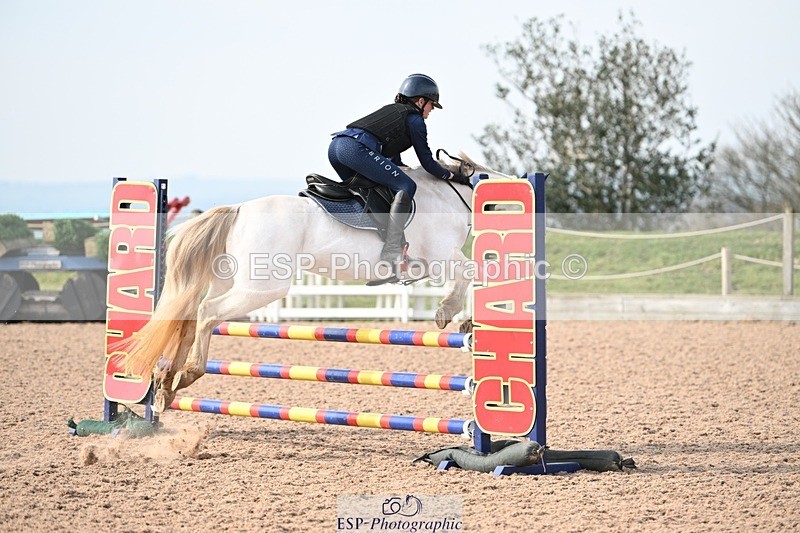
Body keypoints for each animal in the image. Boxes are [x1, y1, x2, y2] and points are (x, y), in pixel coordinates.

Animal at [124, 153, 513, 412]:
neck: (450, 197)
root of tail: (238, 210)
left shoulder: (433, 263)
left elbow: (471, 274)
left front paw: (465, 320)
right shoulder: (441, 256)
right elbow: (471, 272)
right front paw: (454, 314)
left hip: (232, 281)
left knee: (190, 317)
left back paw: (165, 387)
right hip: (262, 288)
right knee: (207, 312)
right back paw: (187, 374)